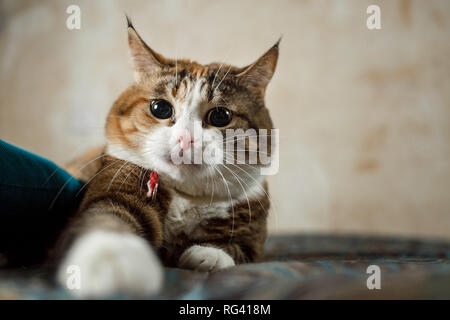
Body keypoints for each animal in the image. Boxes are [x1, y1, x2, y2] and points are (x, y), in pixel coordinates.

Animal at [55, 18, 278, 298]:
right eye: (160, 108)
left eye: (220, 116)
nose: (185, 138)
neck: (186, 197)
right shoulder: (118, 183)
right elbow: (109, 216)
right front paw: (111, 261)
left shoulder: (253, 229)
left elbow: (240, 247)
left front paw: (208, 254)